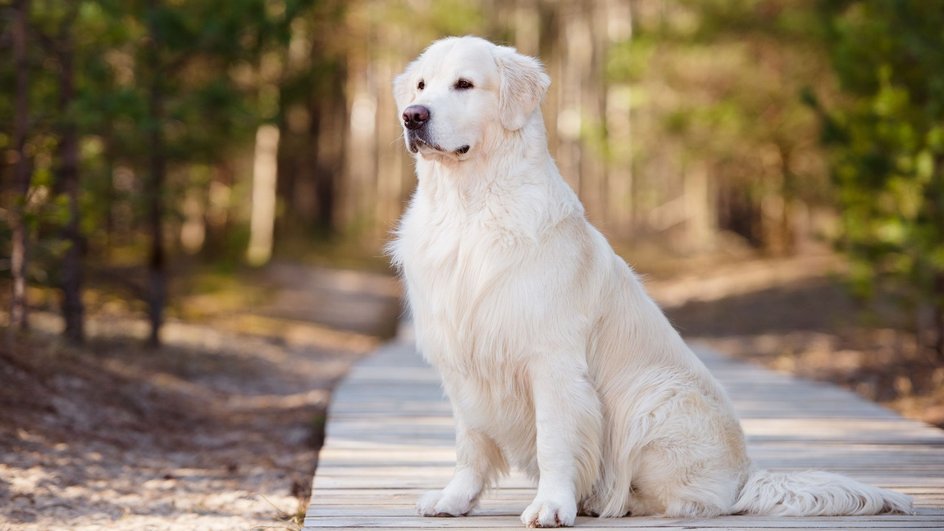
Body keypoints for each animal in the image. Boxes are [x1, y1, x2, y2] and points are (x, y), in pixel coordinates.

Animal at [388, 36, 912, 528]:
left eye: (464, 84)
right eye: (420, 86)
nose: (412, 116)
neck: (469, 208)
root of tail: (747, 475)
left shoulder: (551, 360)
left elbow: (554, 441)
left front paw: (552, 505)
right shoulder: (463, 361)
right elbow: (471, 444)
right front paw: (455, 499)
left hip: (654, 396)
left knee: (696, 500)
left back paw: (616, 501)